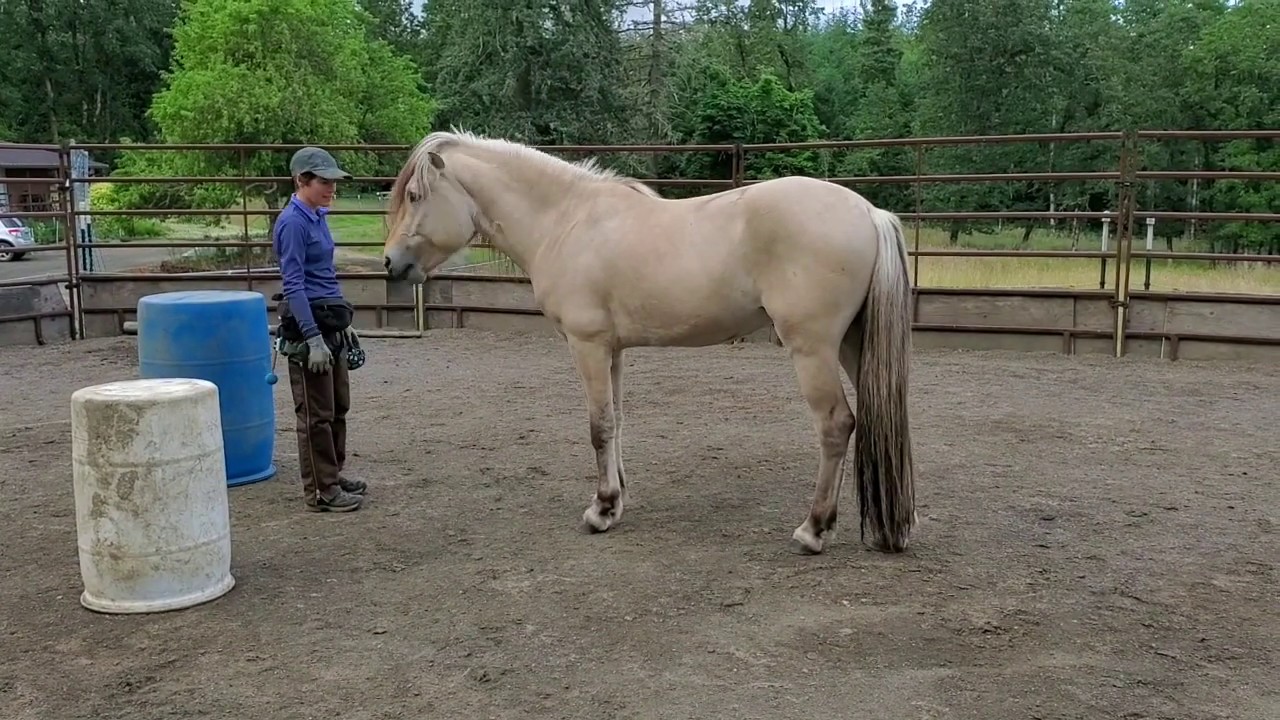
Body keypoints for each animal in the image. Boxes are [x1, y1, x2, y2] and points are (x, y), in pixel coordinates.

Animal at [381, 129, 918, 555]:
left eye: (415, 195)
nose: (391, 264)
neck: (566, 221)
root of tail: (870, 212)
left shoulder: (588, 345)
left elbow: (599, 426)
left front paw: (600, 511)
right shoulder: (613, 350)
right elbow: (616, 422)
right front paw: (616, 500)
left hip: (813, 349)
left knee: (836, 425)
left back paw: (813, 529)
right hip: (852, 344)